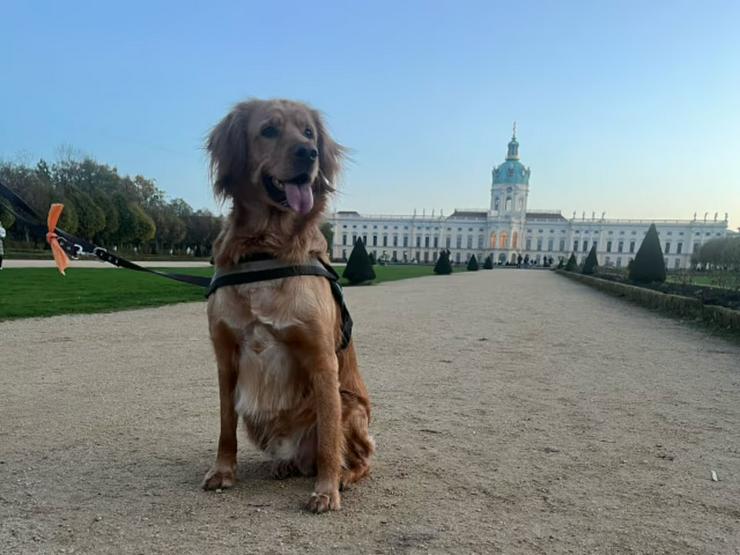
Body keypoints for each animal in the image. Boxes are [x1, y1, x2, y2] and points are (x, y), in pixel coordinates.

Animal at [201, 99, 372, 512]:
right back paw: (287, 465)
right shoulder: (225, 357)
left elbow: (329, 440)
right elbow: (225, 426)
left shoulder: (322, 359)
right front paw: (223, 471)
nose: (309, 154)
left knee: (356, 459)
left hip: (352, 406)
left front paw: (326, 490)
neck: (266, 247)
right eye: (269, 130)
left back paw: (342, 477)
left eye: (309, 133)